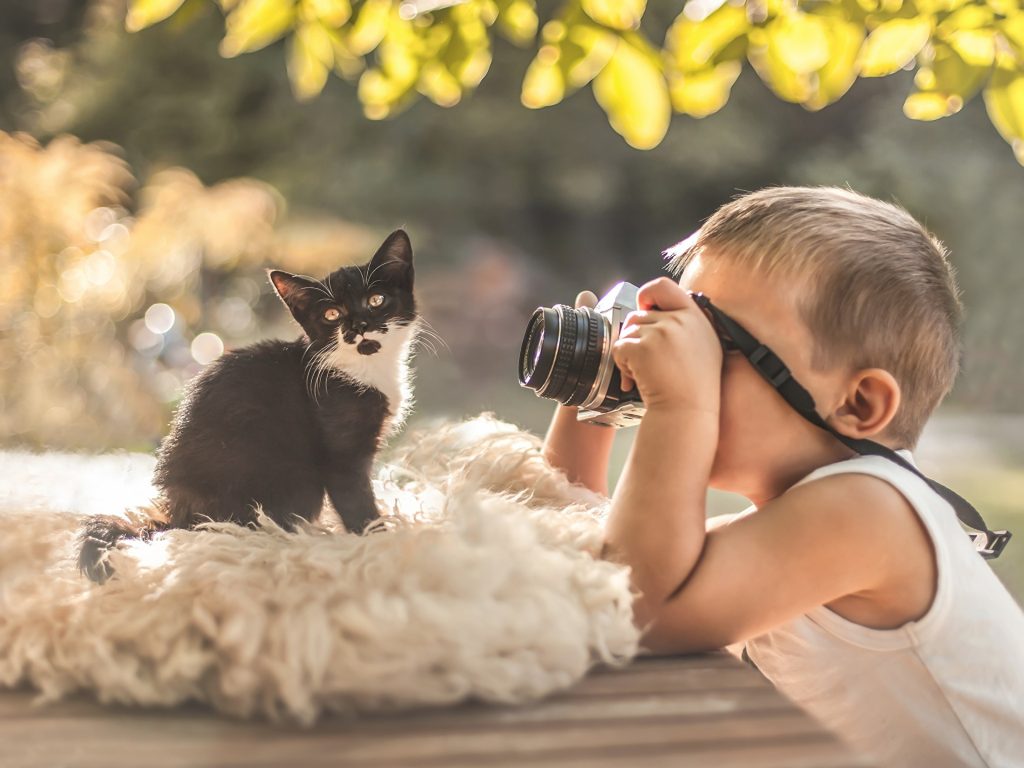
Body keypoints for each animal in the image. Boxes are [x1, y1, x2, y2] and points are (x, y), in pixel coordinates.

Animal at [77, 228, 417, 581]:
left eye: (376, 300)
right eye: (332, 314)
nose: (358, 326)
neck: (361, 368)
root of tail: (176, 516)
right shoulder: (340, 449)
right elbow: (356, 501)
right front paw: (380, 545)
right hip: (285, 478)